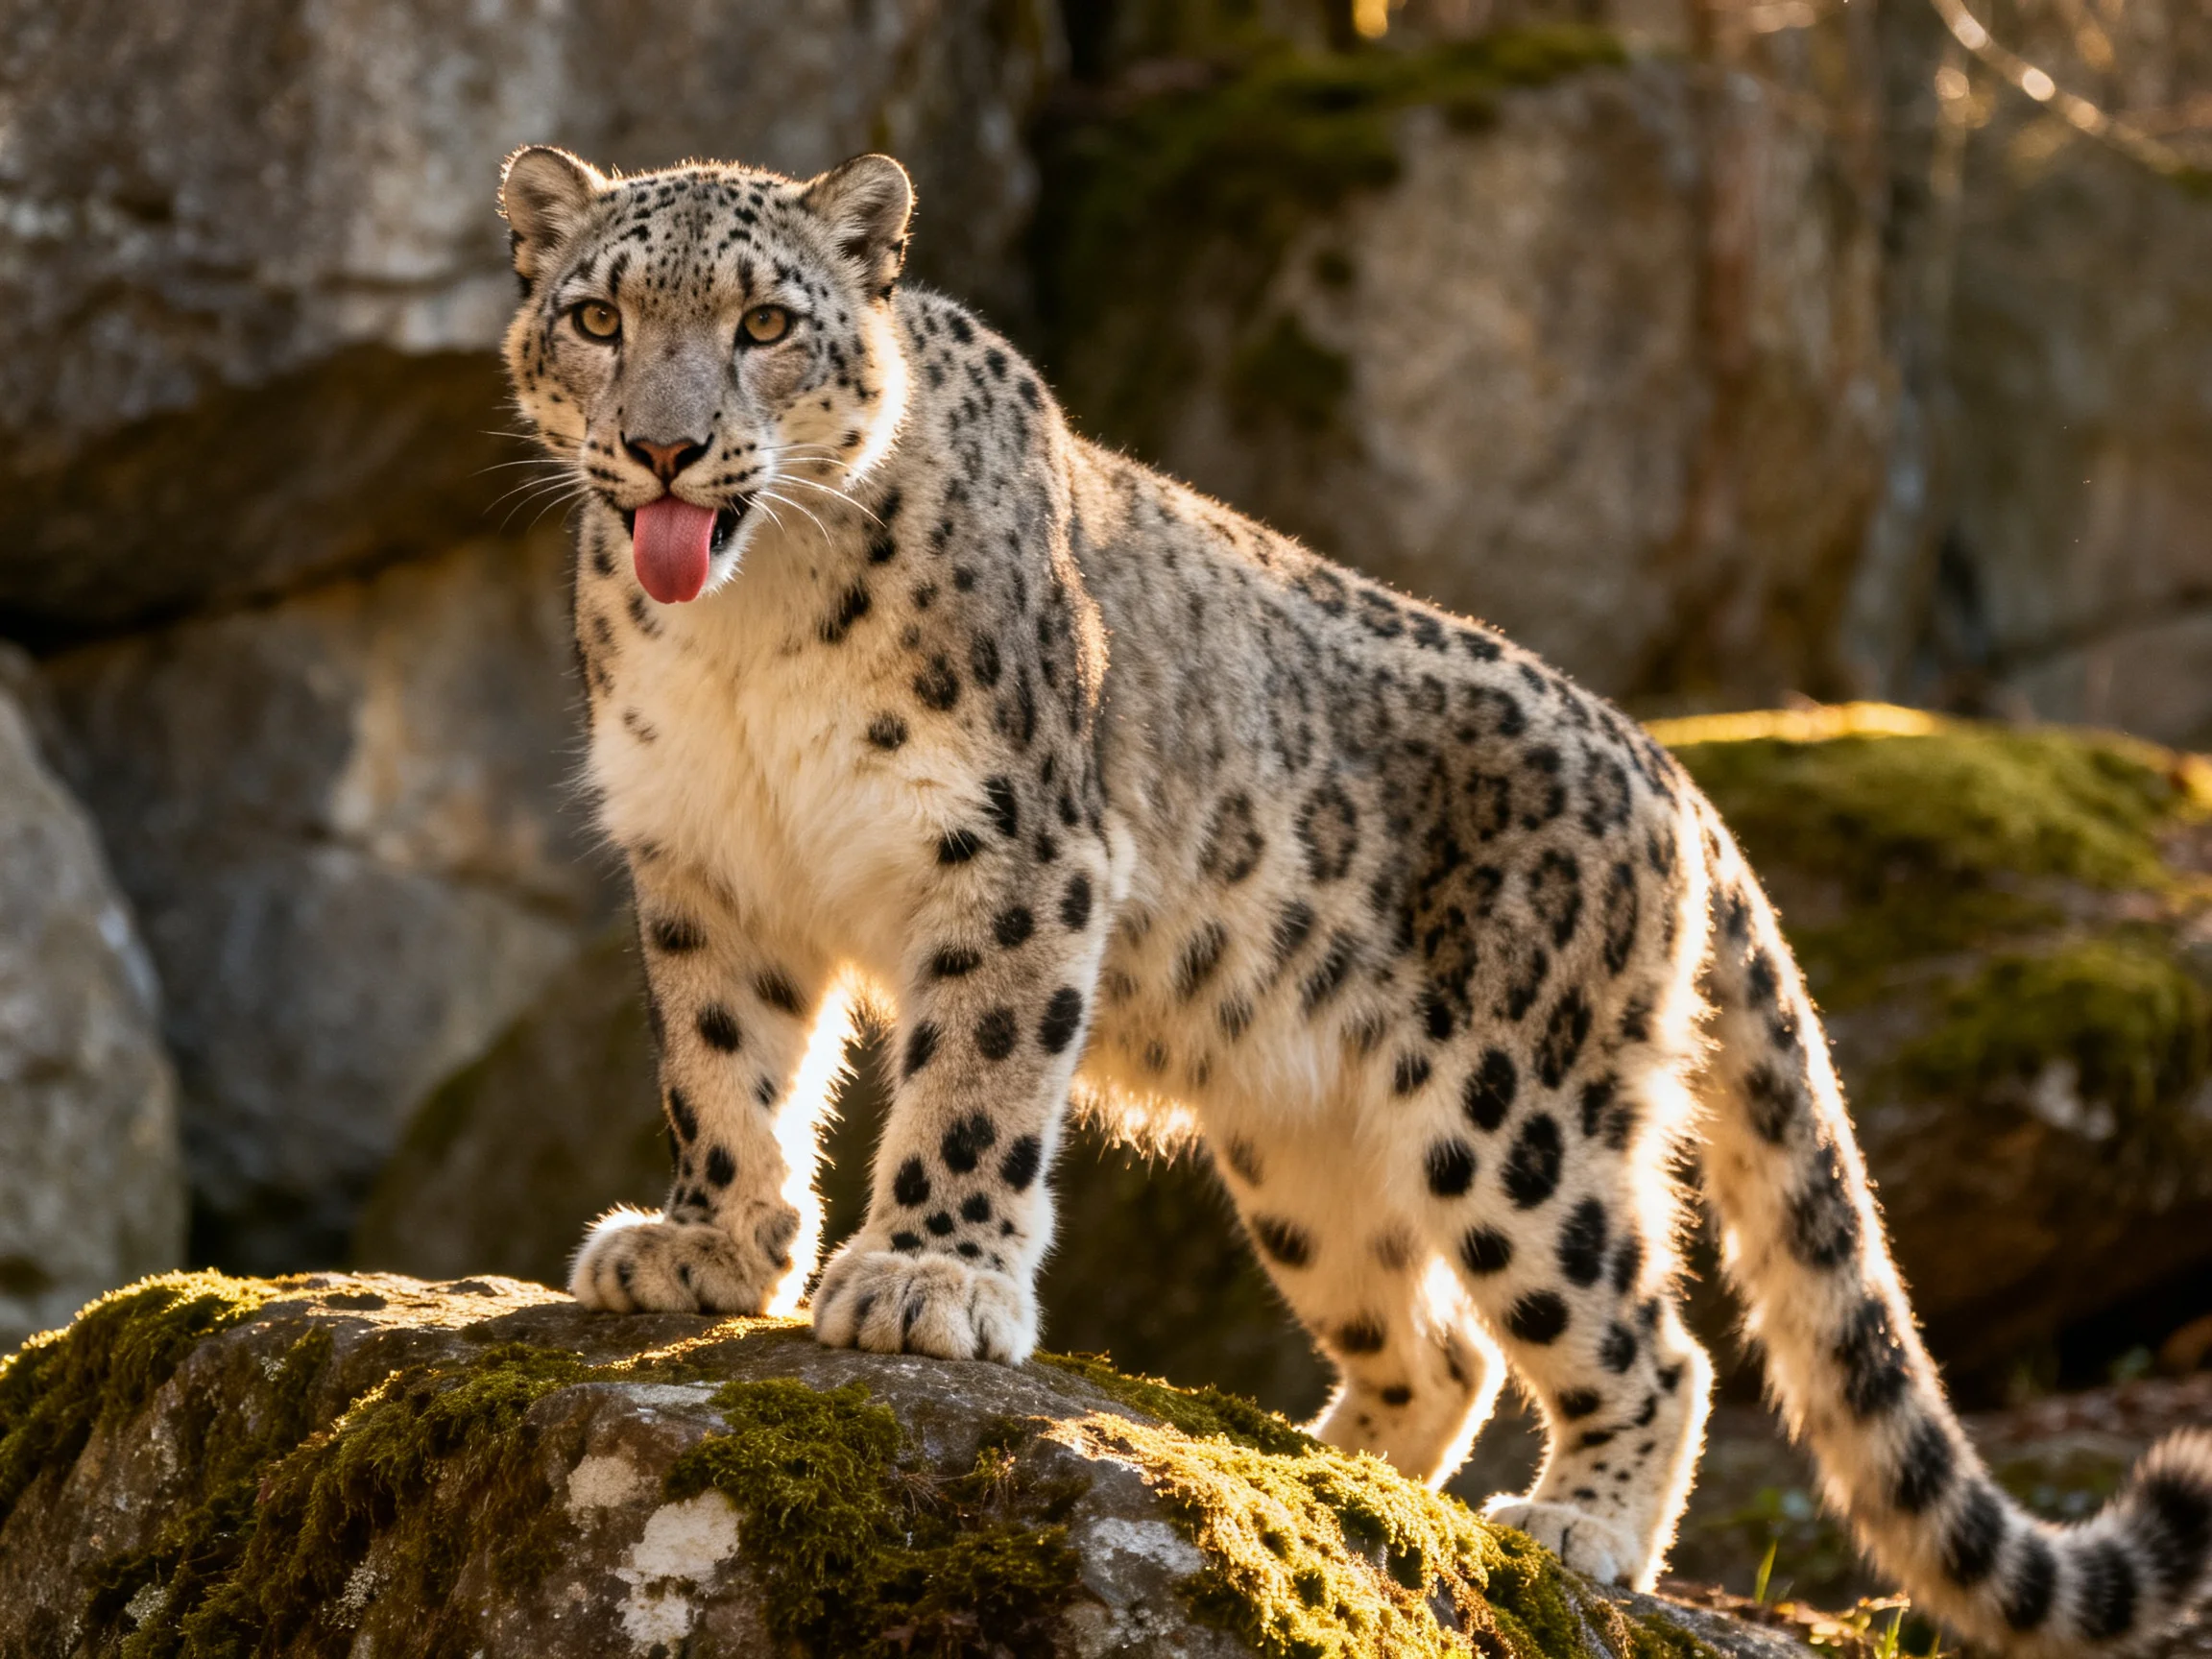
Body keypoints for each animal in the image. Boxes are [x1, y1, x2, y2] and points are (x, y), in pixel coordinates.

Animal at [496, 143, 2212, 1654]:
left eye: (764, 325)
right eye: (601, 318)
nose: (663, 447)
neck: (748, 636)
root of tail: (1675, 781)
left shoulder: (1016, 852)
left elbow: (973, 1078)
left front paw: (926, 1278)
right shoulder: (703, 865)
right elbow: (721, 1068)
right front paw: (706, 1247)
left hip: (1518, 1121)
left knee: (1646, 1340)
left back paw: (1576, 1525)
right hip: (1302, 1151)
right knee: (1435, 1348)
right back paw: (1312, 1486)